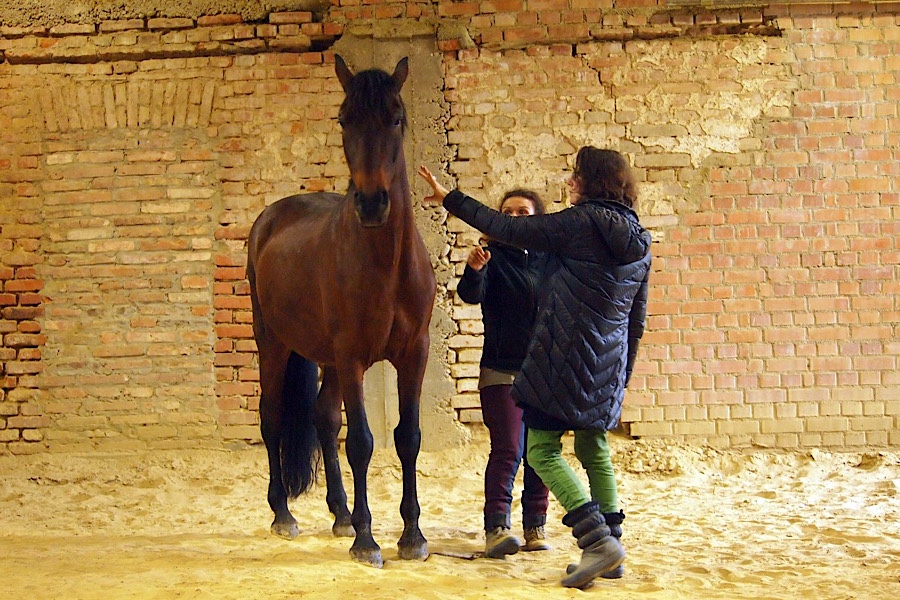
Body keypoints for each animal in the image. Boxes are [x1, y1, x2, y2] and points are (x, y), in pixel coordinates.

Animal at [248, 57, 438, 568]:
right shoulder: (353, 357)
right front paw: (368, 541)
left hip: (327, 360)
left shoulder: (414, 354)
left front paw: (412, 536)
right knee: (272, 417)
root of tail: (270, 218)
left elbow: (408, 437)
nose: (371, 203)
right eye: (343, 120)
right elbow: (362, 443)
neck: (387, 264)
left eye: (396, 117)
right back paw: (283, 514)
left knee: (323, 418)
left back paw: (341, 514)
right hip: (273, 344)